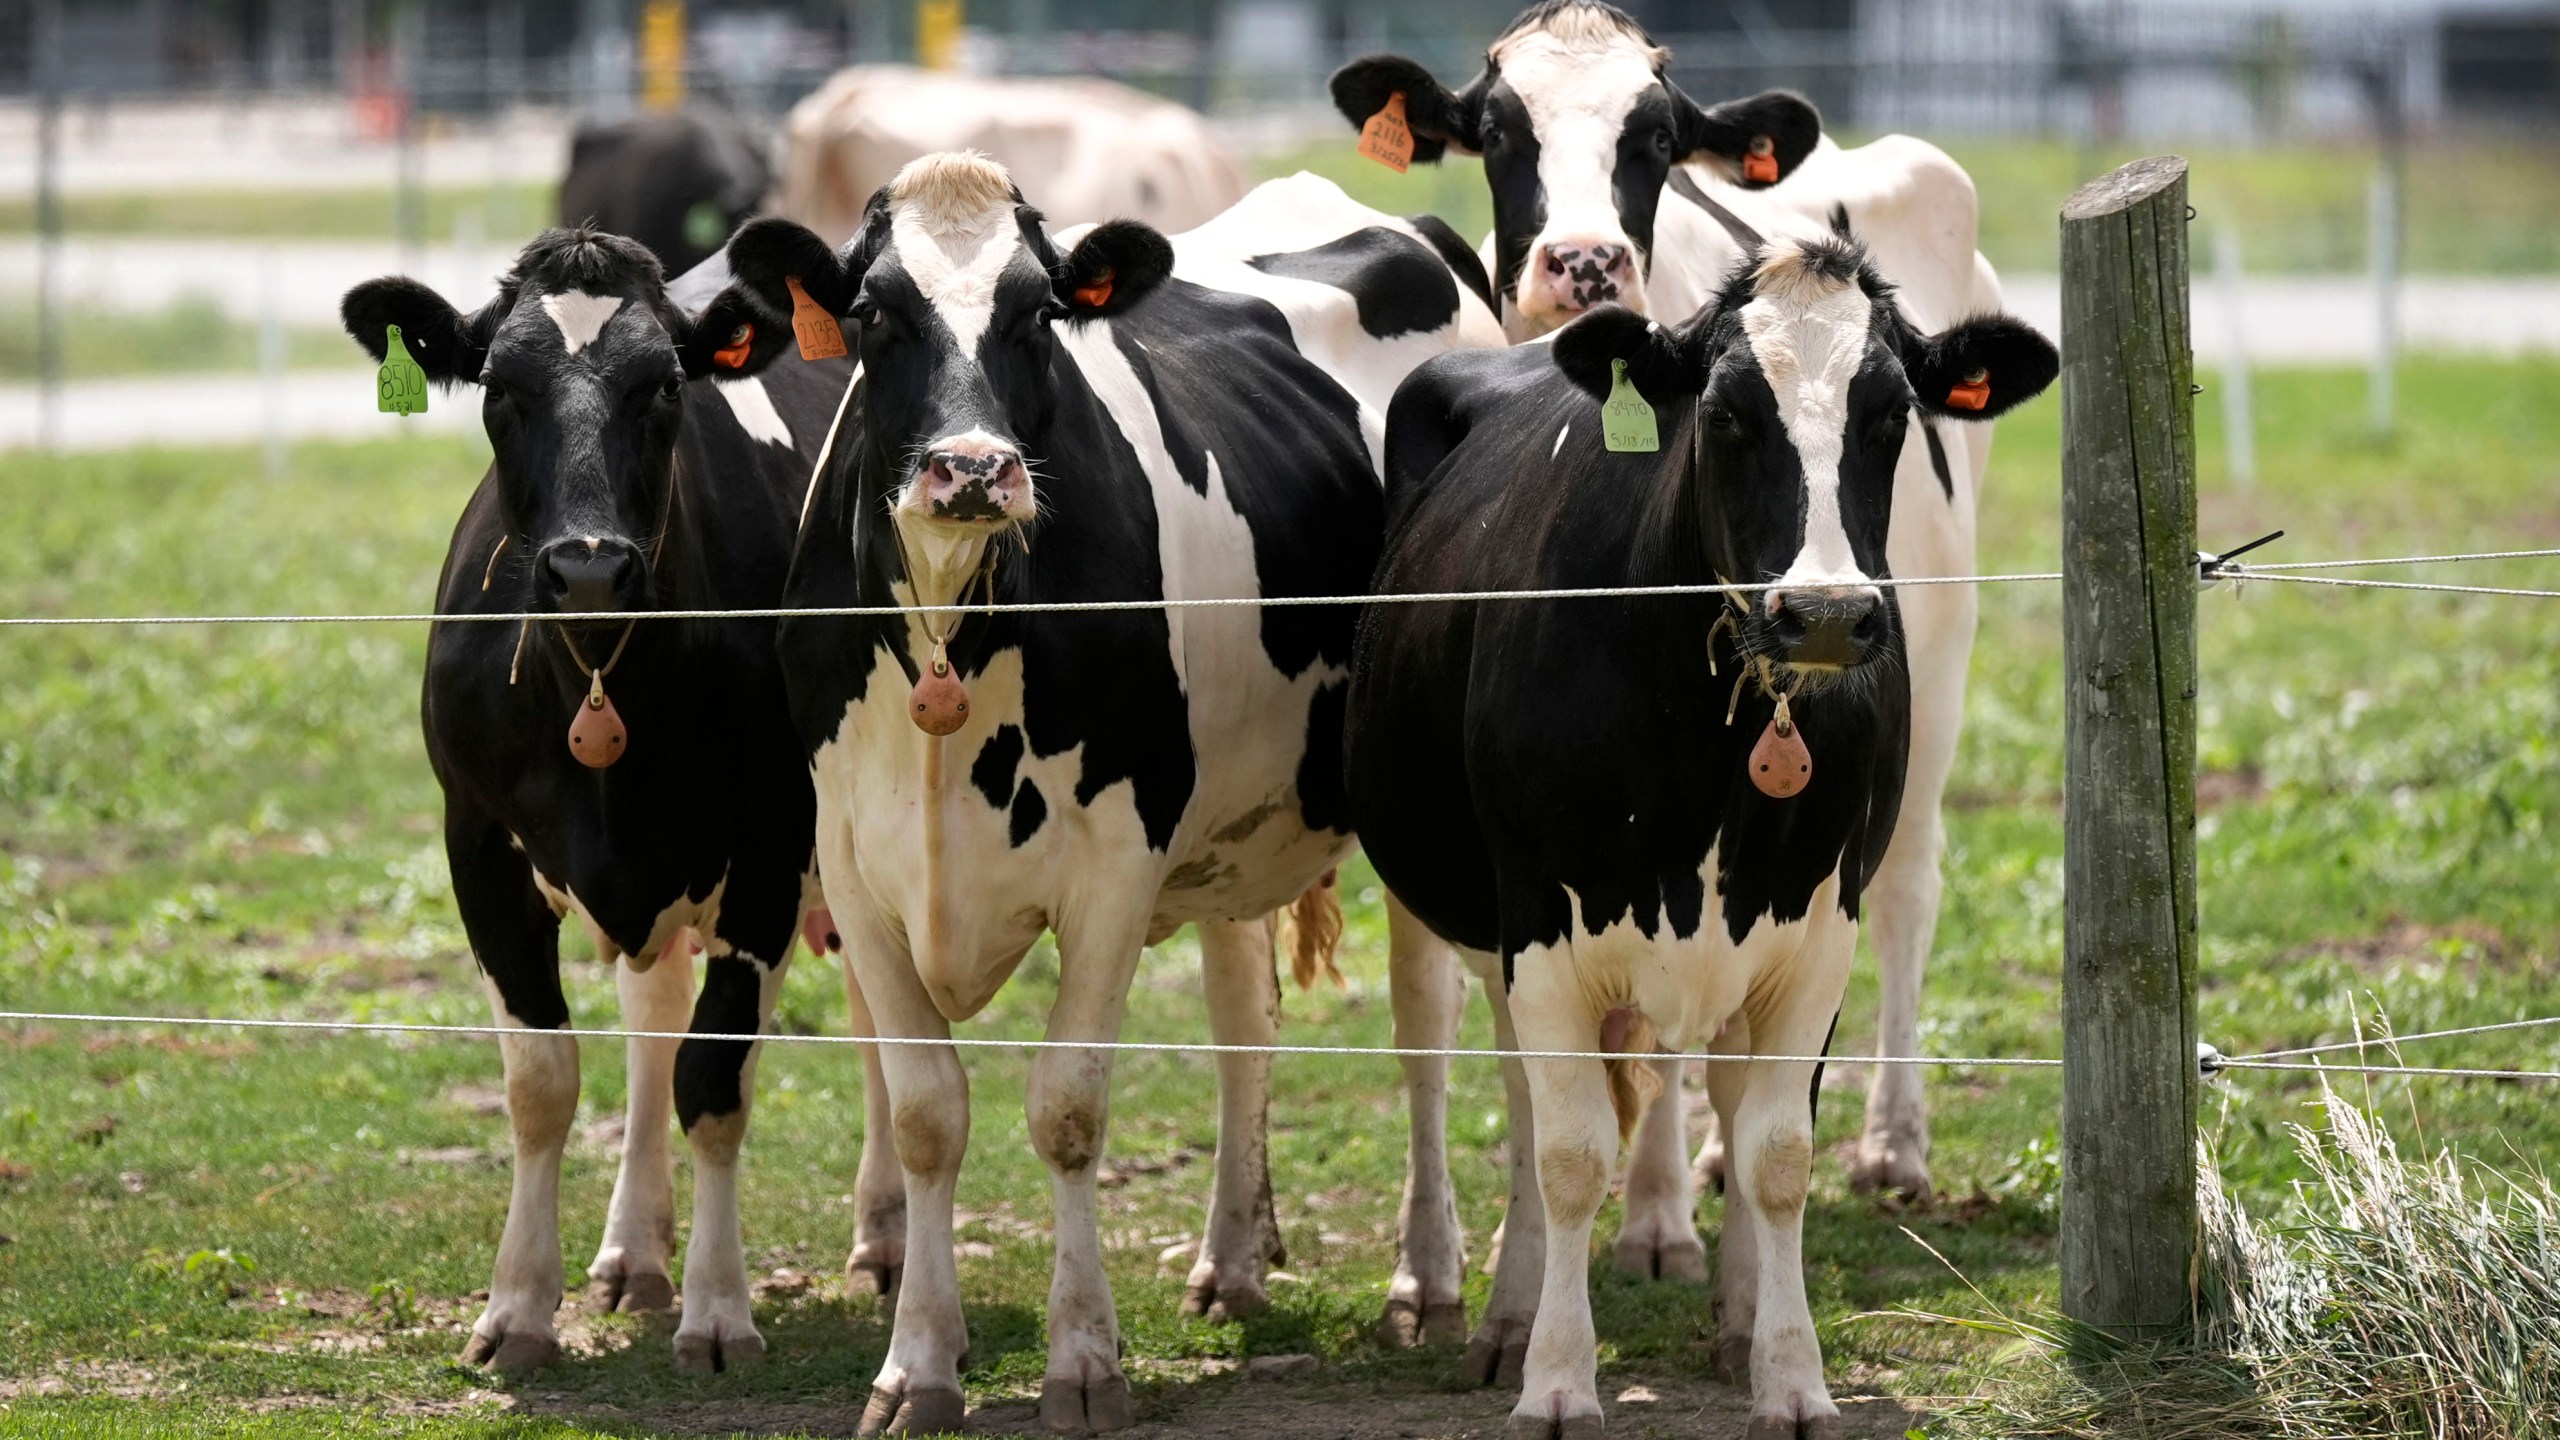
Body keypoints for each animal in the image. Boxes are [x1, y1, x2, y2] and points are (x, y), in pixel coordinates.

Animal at [337, 224, 860, 1363]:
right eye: (498, 385)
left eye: (663, 385)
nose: (584, 568)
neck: (599, 675)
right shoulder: (477, 844)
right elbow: (544, 1083)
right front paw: (517, 1309)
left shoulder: (769, 844)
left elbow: (715, 1079)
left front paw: (720, 1311)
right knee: (653, 1023)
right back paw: (635, 1253)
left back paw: (882, 1244)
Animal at [701, 151, 1495, 1424]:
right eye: (872, 311)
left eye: (1037, 311)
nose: (972, 468)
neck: (952, 628)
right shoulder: (857, 868)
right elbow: (926, 1115)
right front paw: (917, 1365)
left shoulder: (1117, 862)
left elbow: (1067, 1108)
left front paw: (1081, 1360)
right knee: (1242, 1020)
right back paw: (1232, 1260)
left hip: (1402, 800)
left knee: (1424, 1025)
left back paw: (1425, 1282)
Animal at [1320, 0, 2017, 1342]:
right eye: (1497, 130)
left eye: (1651, 138)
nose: (1584, 263)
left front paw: (1663, 1231)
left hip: (1945, 656)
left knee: (1907, 890)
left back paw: (1887, 1144)